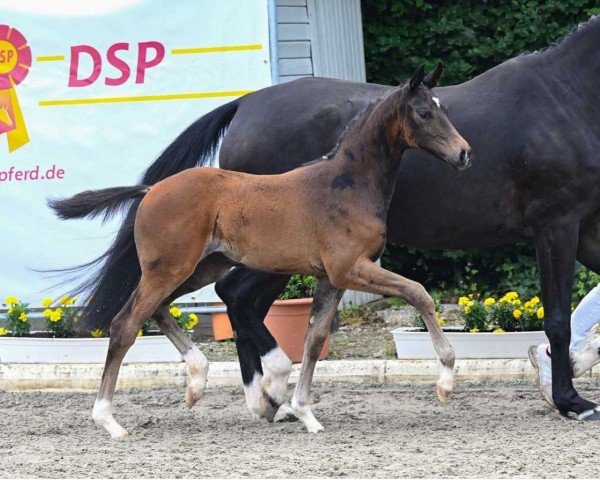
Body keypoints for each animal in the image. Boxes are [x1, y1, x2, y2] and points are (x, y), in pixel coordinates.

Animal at [50, 65, 468, 436]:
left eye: (446, 110)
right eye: (425, 112)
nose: (464, 153)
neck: (345, 184)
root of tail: (150, 191)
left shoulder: (332, 277)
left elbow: (314, 339)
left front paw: (304, 413)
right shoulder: (351, 267)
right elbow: (418, 293)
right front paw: (446, 380)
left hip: (201, 268)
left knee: (158, 308)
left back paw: (198, 381)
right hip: (168, 269)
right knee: (125, 324)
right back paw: (109, 421)